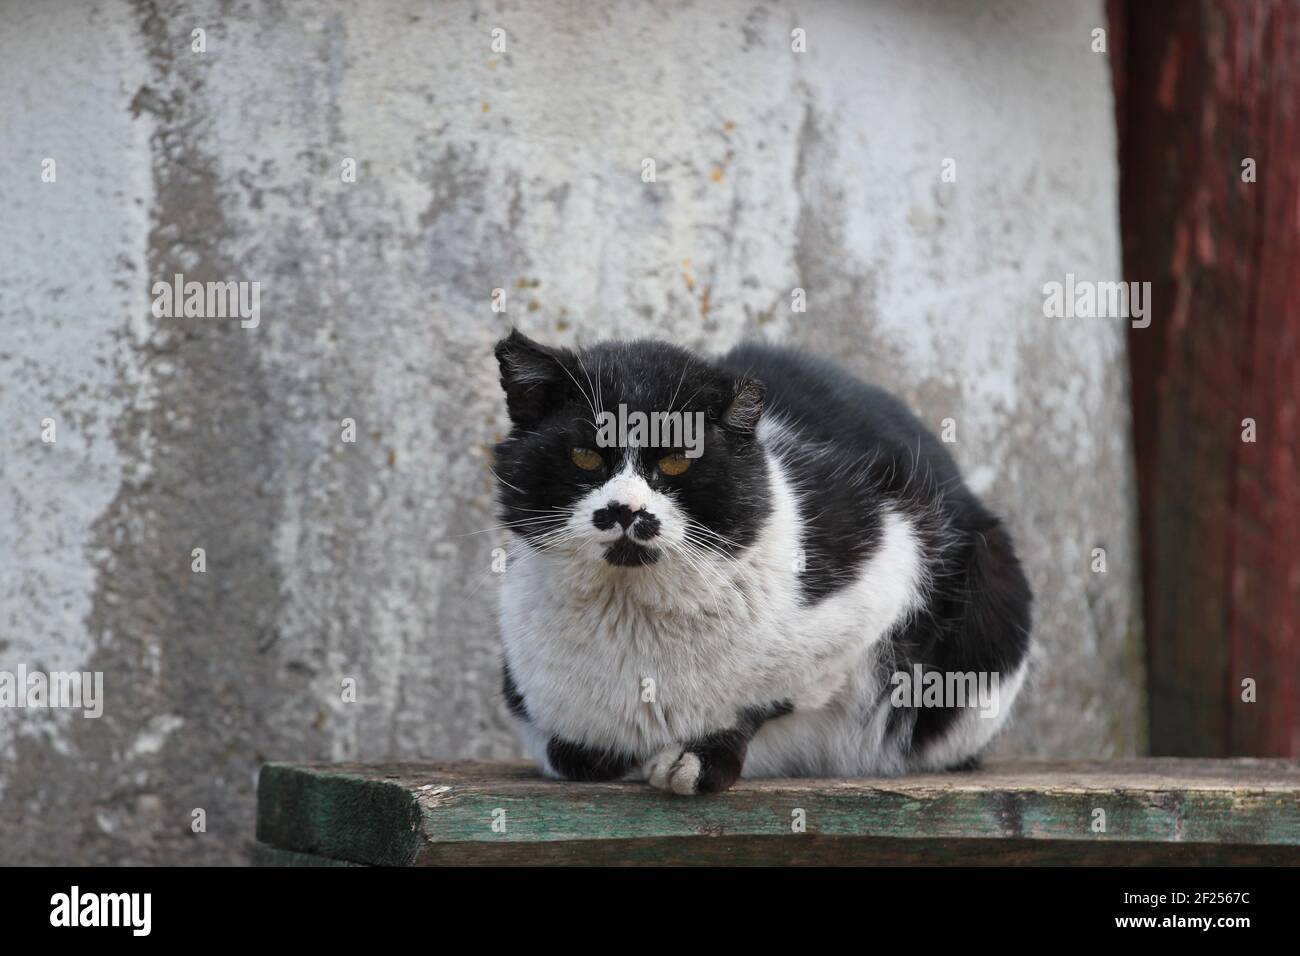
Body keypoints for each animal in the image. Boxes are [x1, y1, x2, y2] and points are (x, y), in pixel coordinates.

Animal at [491, 332, 1029, 796]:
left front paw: (699, 756)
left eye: (677, 460)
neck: (633, 615)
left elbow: (772, 693)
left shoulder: (890, 564)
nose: (625, 509)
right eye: (584, 456)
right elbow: (570, 752)